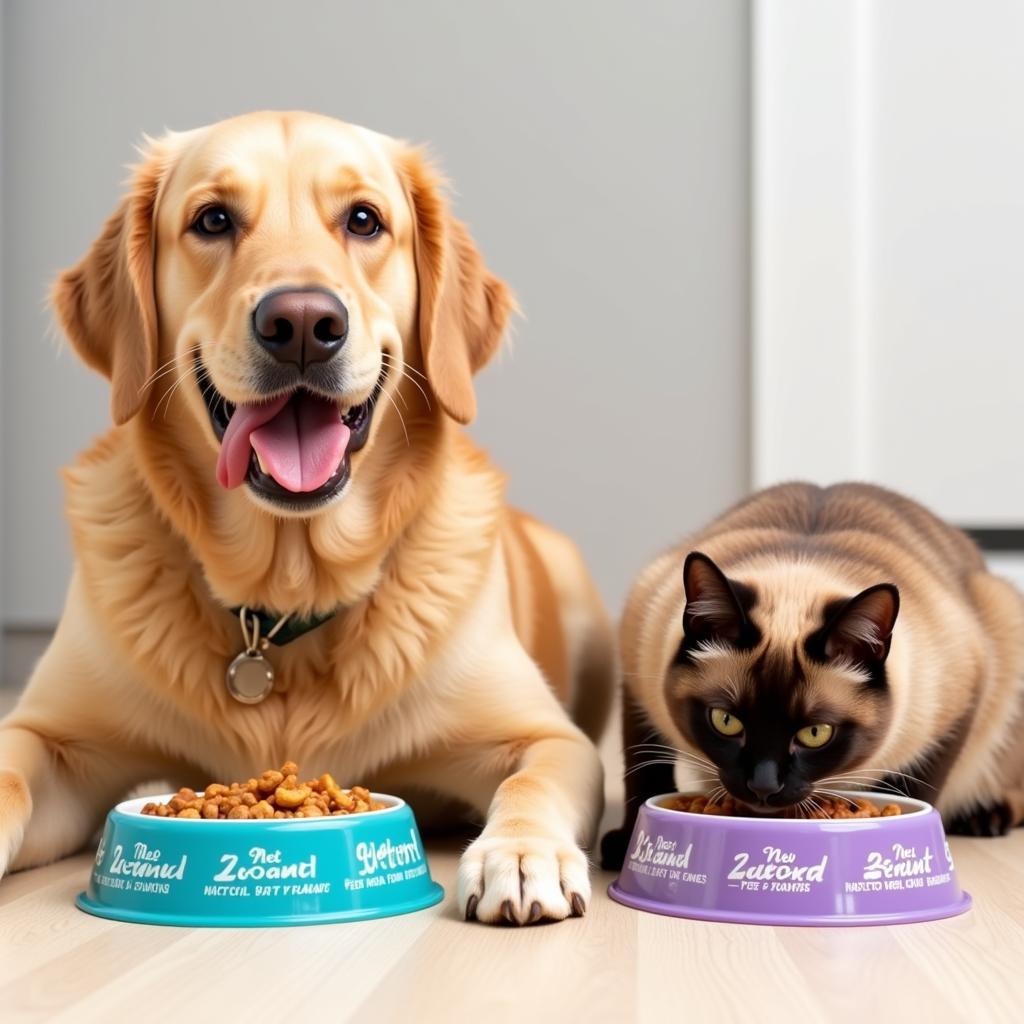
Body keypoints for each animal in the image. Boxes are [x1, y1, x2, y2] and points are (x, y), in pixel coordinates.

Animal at [0, 110, 610, 921]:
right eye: (212, 219)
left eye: (364, 220)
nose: (300, 323)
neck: (281, 600)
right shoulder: (55, 739)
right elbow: (9, 770)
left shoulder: (547, 737)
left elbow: (532, 777)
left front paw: (519, 853)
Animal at [598, 479, 1024, 864]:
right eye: (725, 721)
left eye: (815, 734)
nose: (763, 786)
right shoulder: (637, 681)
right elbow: (644, 770)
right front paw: (626, 843)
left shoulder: (964, 697)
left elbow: (915, 788)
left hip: (1005, 621)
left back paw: (987, 817)